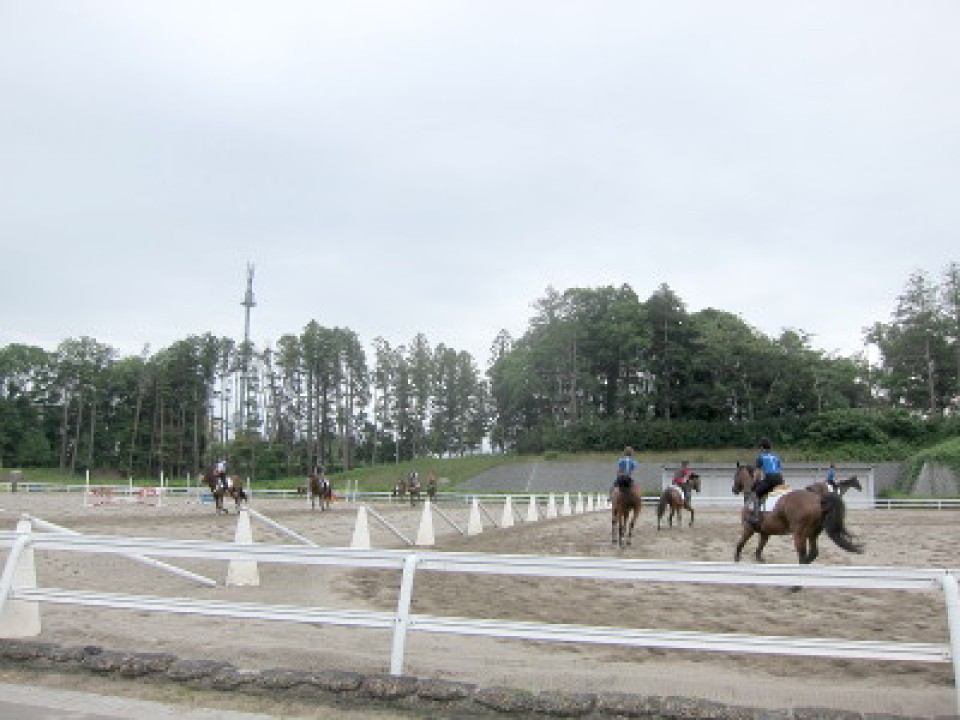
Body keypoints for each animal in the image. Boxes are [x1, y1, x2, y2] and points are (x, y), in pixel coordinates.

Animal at [736, 462, 864, 568]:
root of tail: (818, 500)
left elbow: (740, 544)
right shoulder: (765, 532)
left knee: (803, 556)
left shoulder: (748, 528)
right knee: (812, 553)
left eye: (736, 474)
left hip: (800, 534)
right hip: (811, 534)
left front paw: (736, 559)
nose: (734, 489)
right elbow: (758, 551)